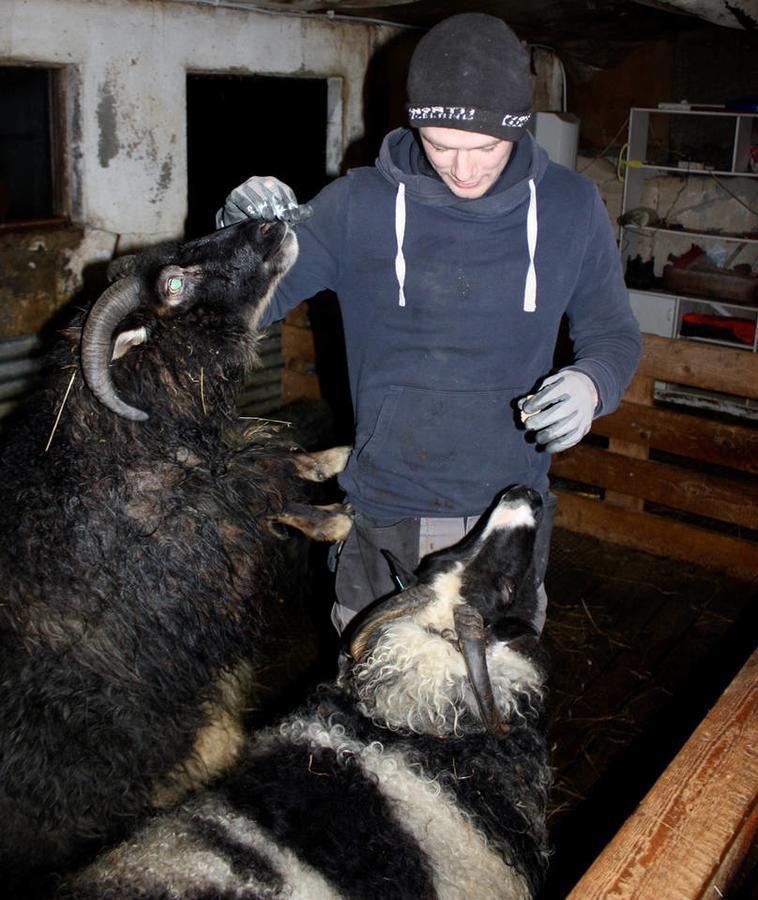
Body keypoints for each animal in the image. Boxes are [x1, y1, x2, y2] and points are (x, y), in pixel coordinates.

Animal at [0, 216, 350, 884]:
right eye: (174, 285)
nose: (268, 225)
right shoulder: (197, 541)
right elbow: (259, 490)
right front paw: (331, 516)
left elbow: (264, 458)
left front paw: (330, 459)